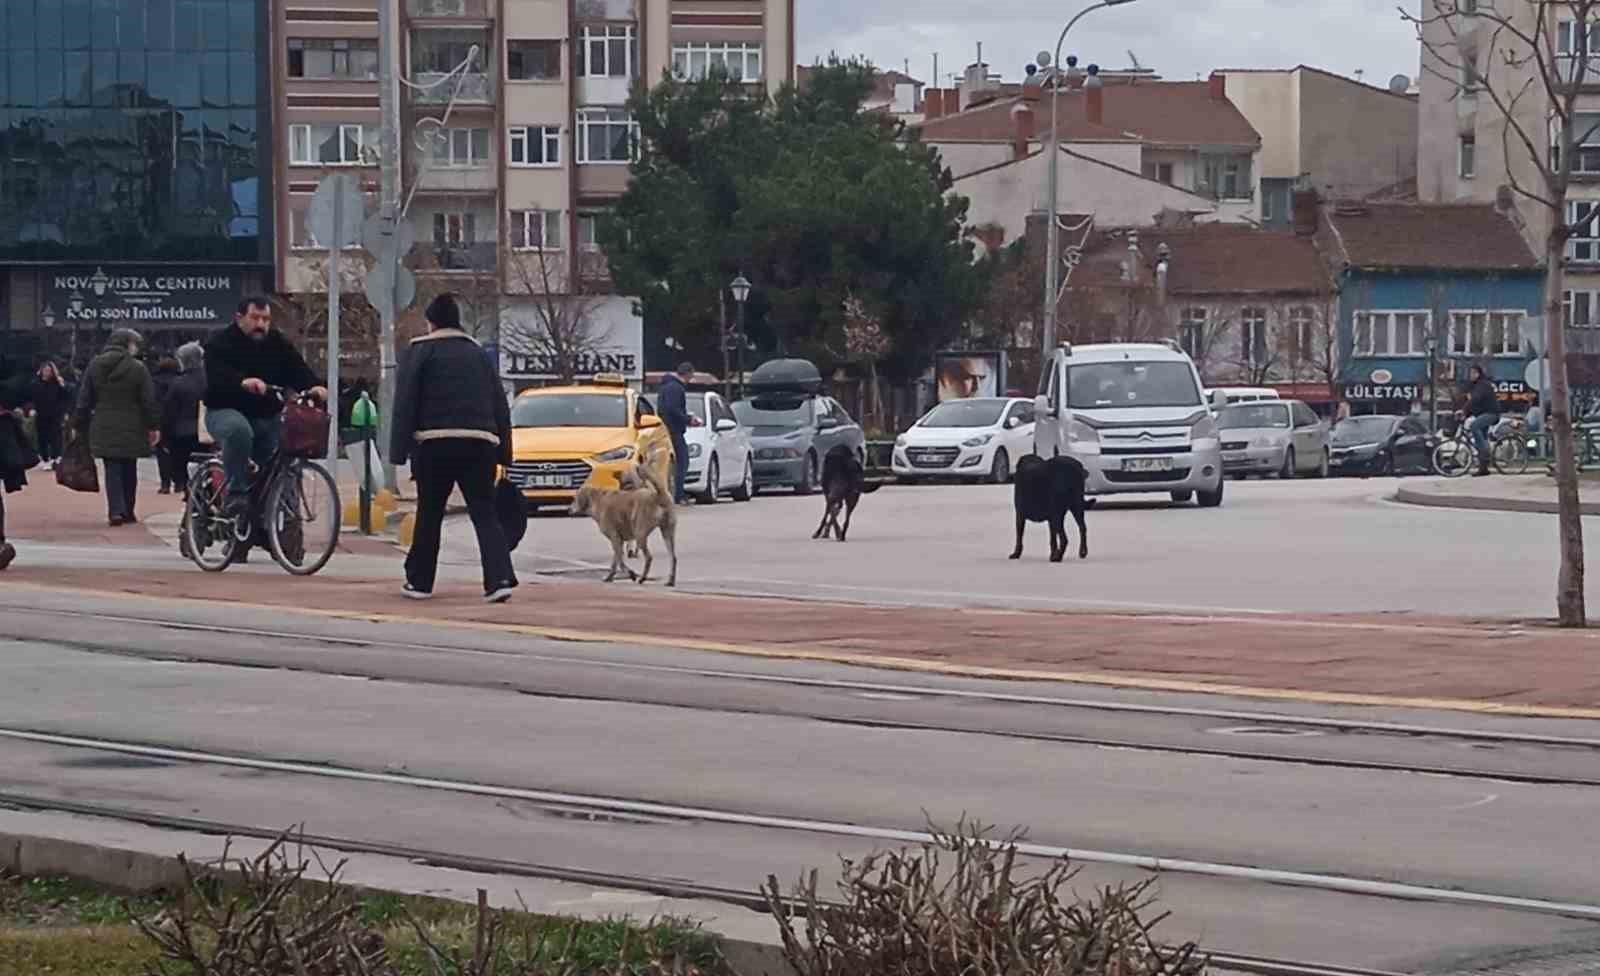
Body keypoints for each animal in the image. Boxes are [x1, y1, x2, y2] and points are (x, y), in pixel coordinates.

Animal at [572, 448, 678, 585]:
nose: (568, 509)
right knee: (673, 557)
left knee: (649, 557)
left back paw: (642, 578)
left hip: (640, 534)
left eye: (575, 499)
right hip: (667, 532)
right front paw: (611, 576)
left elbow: (620, 562)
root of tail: (659, 495)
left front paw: (630, 574)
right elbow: (616, 561)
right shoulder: (618, 541)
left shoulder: (615, 538)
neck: (598, 500)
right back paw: (670, 580)